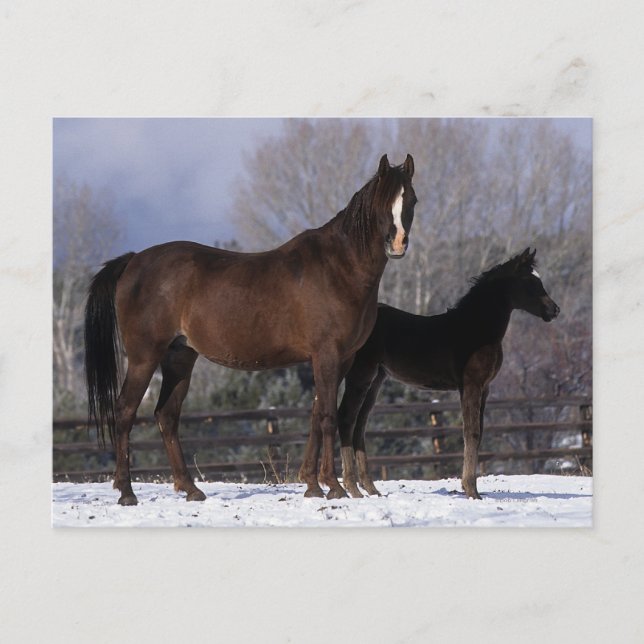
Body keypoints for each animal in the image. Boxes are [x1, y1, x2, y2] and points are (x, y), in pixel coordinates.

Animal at [84, 153, 417, 505]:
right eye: (382, 202)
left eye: (410, 200)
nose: (397, 244)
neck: (338, 268)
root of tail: (134, 261)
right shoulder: (327, 354)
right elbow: (328, 416)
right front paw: (333, 486)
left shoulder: (342, 359)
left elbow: (316, 416)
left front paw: (312, 485)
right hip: (144, 357)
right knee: (125, 412)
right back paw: (126, 492)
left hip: (180, 356)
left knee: (166, 416)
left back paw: (191, 489)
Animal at [337, 248, 559, 500]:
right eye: (530, 281)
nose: (554, 310)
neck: (477, 329)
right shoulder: (471, 385)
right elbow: (471, 432)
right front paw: (471, 490)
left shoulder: (485, 389)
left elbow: (479, 432)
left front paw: (471, 487)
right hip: (360, 374)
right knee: (346, 418)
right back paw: (352, 488)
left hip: (376, 379)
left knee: (360, 425)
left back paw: (371, 489)